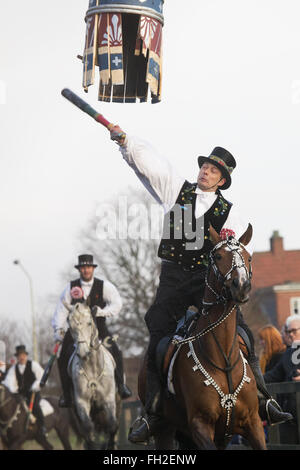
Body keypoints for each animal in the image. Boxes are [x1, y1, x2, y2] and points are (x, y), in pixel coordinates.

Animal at [65, 302, 119, 450]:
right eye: (70, 325)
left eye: (89, 323)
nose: (83, 352)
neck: (92, 367)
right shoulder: (81, 402)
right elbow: (89, 430)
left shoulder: (108, 399)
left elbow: (112, 426)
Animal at [137, 224, 266, 452]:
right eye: (218, 256)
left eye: (248, 257)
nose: (241, 286)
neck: (223, 360)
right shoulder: (200, 426)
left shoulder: (253, 424)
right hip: (165, 430)